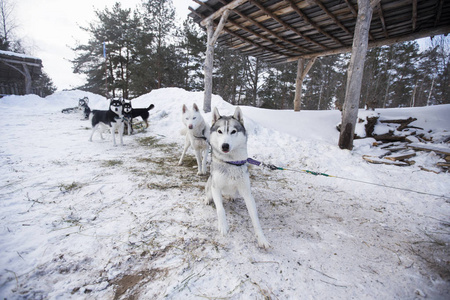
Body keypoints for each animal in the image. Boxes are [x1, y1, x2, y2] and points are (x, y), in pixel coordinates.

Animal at [206, 106, 268, 248]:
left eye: (233, 131)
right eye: (219, 131)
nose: (225, 145)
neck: (231, 163)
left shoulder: (247, 192)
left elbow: (255, 218)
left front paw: (261, 238)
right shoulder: (216, 187)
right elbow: (221, 210)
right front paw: (223, 226)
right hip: (210, 182)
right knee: (208, 192)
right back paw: (207, 198)